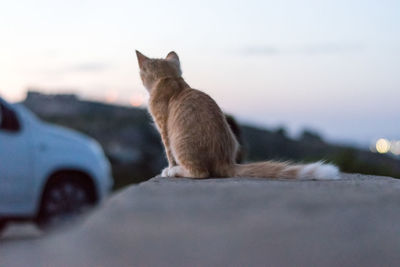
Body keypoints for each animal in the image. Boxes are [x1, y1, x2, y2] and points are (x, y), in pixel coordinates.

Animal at [136, 50, 340, 180]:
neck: (171, 78)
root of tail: (225, 161)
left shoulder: (164, 130)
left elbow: (168, 155)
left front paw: (168, 170)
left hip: (180, 144)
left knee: (200, 173)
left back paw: (177, 171)